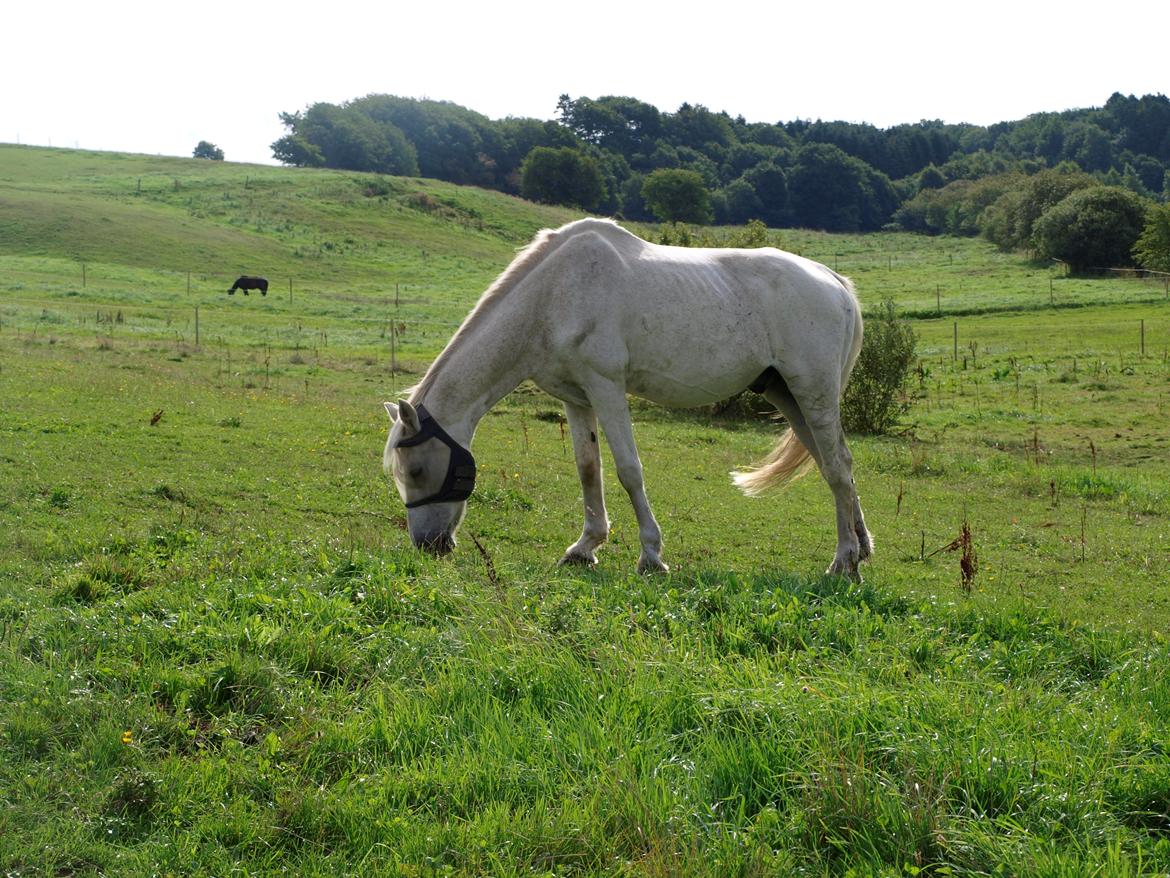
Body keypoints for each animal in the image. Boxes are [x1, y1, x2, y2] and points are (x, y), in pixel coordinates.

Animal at [383, 217, 870, 580]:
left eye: (417, 469)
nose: (427, 546)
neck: (554, 294)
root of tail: (835, 281)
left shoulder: (607, 388)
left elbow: (628, 471)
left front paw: (651, 556)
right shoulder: (576, 398)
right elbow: (587, 469)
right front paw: (585, 547)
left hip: (813, 392)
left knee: (837, 465)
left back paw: (844, 561)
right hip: (788, 395)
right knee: (835, 464)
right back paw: (861, 548)